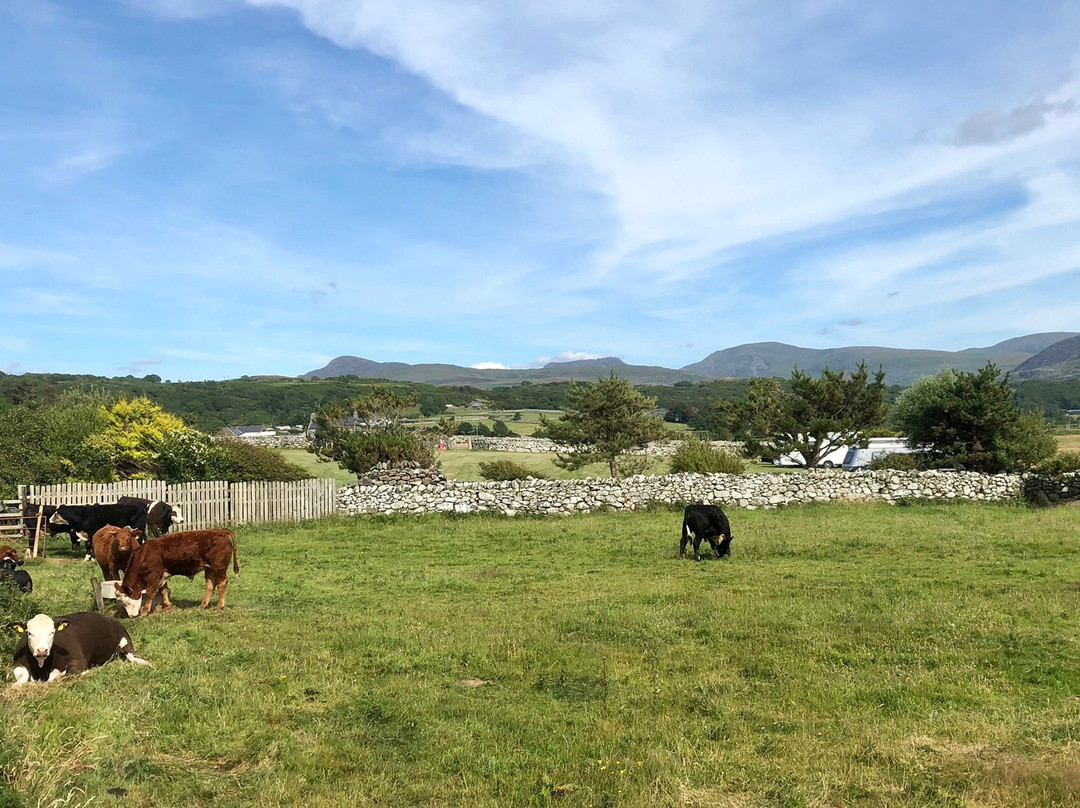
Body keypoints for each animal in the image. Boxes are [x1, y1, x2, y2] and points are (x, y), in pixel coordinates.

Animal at [10, 609, 151, 687]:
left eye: (52, 632)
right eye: (29, 633)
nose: (42, 650)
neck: (41, 668)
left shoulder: (78, 659)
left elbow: (67, 675)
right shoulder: (17, 662)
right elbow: (21, 677)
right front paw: (15, 686)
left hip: (124, 638)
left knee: (132, 656)